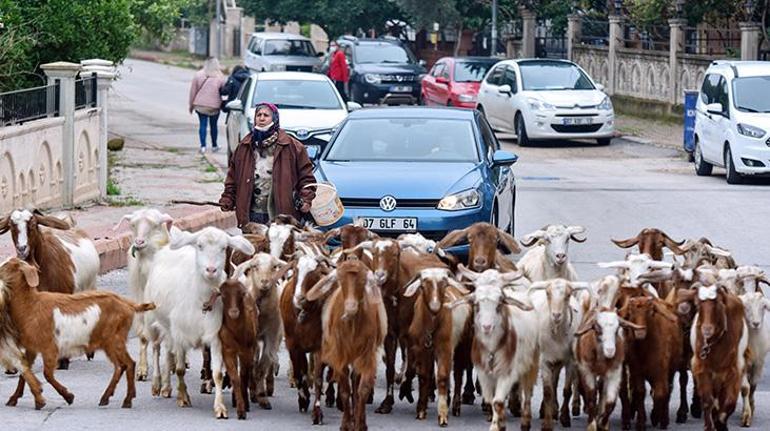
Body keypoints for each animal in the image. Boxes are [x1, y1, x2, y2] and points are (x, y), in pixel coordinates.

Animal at [0, 258, 156, 410]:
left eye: (6, 267)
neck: (31, 306)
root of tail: (129, 304)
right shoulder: (31, 348)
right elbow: (24, 371)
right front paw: (14, 399)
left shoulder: (49, 348)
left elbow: (47, 374)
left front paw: (68, 397)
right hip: (111, 343)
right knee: (121, 366)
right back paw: (106, 398)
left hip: (115, 340)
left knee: (128, 364)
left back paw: (126, 401)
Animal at [302, 260, 382, 431]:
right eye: (341, 281)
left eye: (363, 281)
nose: (351, 307)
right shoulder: (340, 355)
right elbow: (345, 389)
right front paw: (346, 424)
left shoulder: (366, 355)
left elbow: (361, 389)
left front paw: (360, 423)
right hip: (321, 352)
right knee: (318, 379)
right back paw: (317, 414)